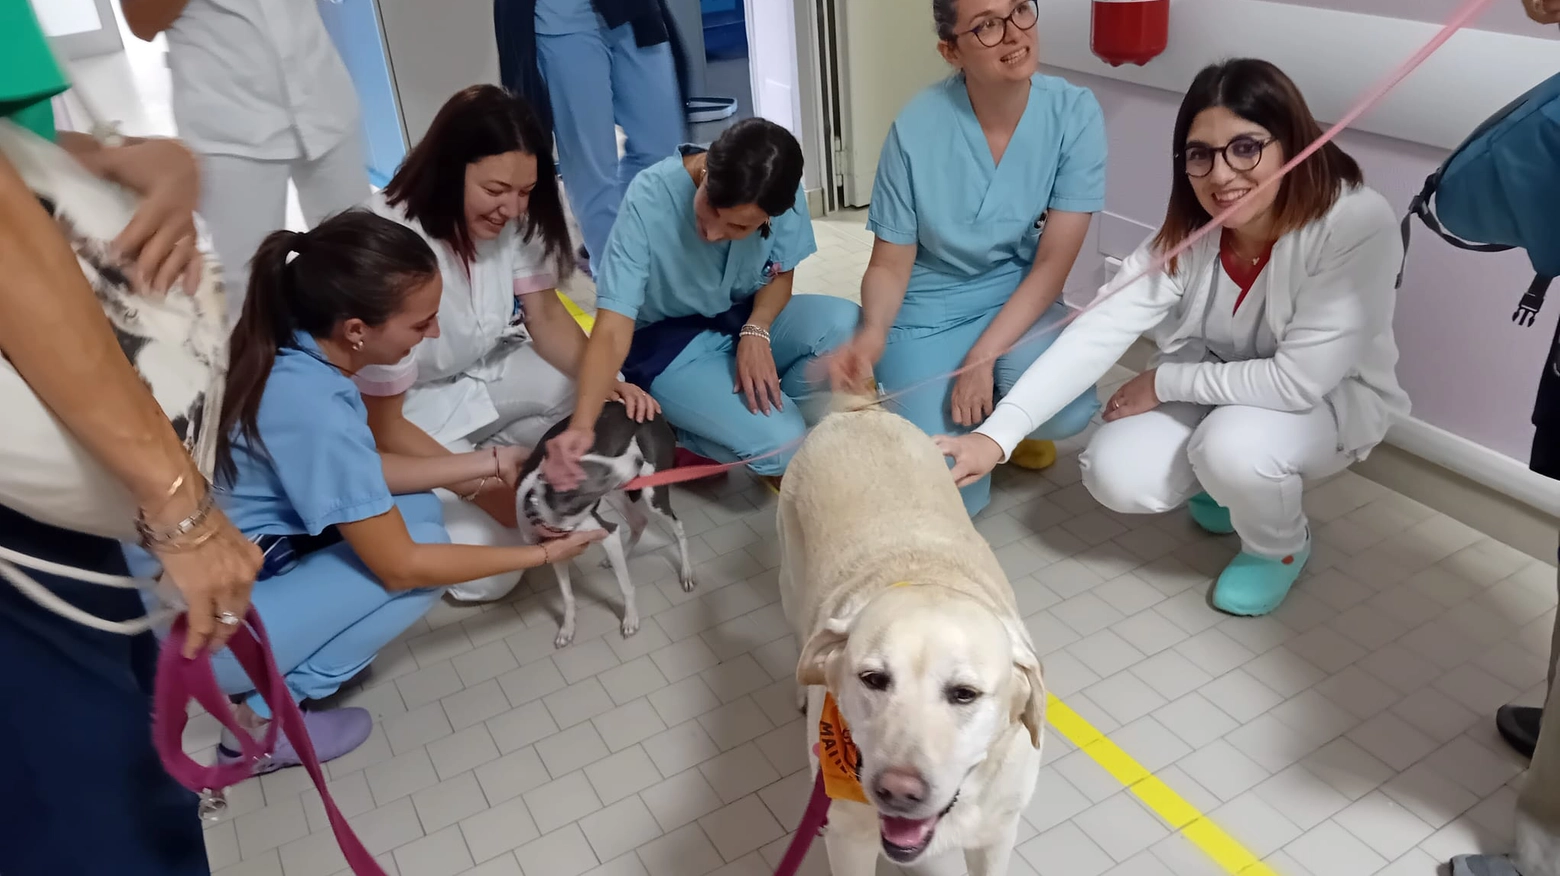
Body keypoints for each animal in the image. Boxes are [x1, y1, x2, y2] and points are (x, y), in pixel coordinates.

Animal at [517, 402, 695, 642]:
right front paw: (567, 628)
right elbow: (567, 596)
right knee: (639, 521)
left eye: (597, 454)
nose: (638, 460)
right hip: (617, 493)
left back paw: (686, 573)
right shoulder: (557, 551)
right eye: (604, 473)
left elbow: (626, 586)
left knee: (677, 526)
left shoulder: (607, 533)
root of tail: (656, 412)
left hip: (653, 492)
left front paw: (630, 620)